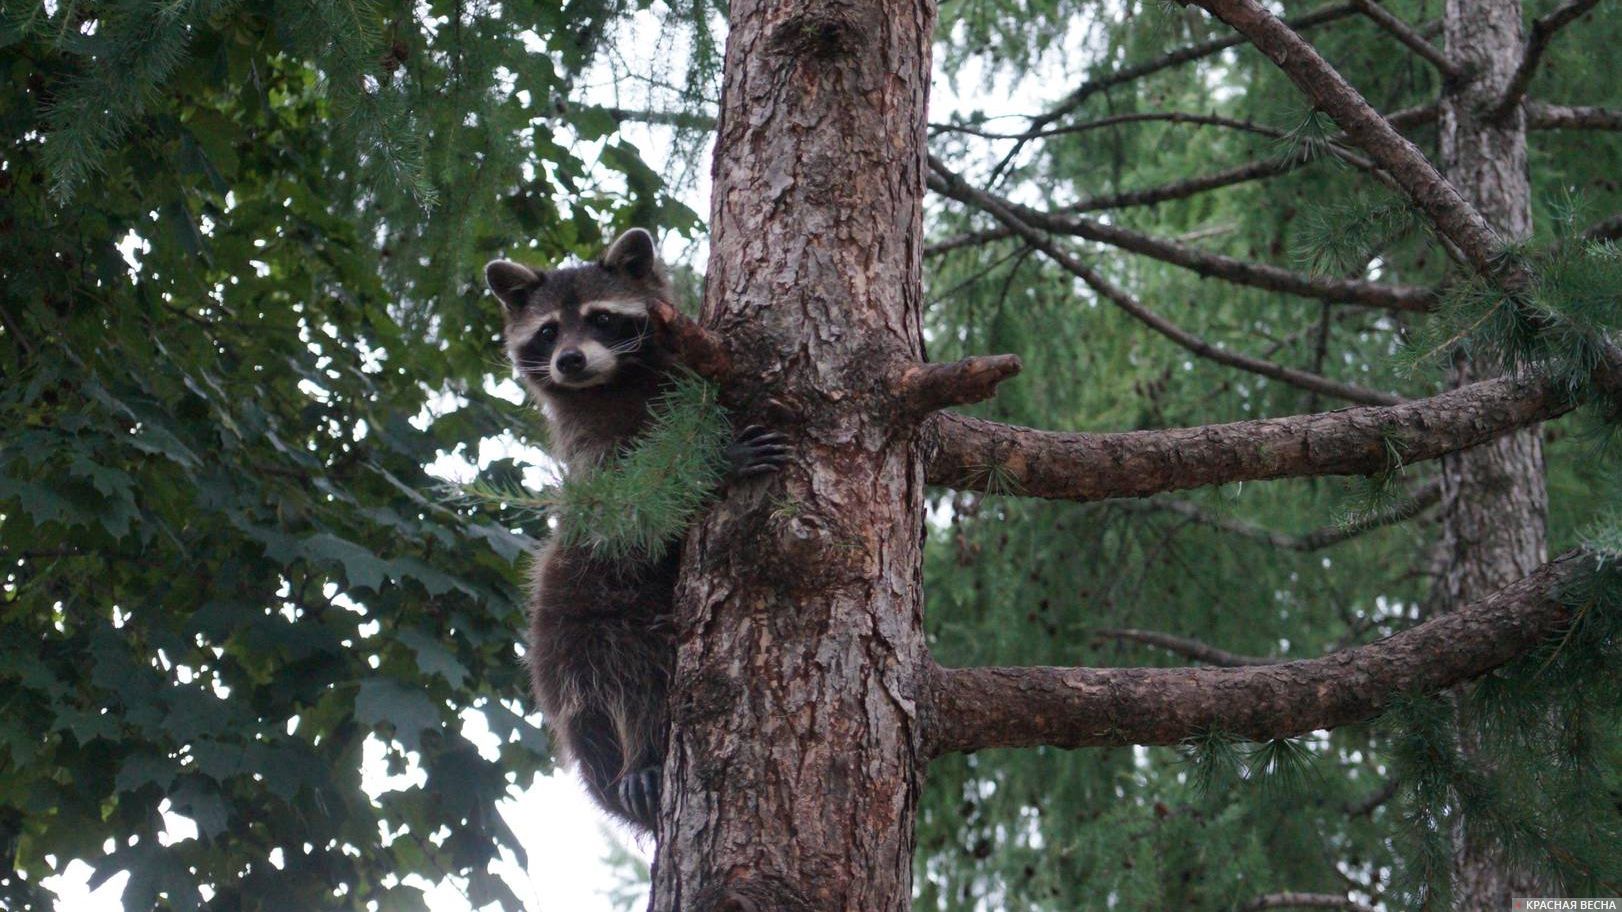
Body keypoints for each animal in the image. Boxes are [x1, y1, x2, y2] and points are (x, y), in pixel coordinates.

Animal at [480, 228, 785, 830]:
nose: (569, 359)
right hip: (576, 620)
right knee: (626, 677)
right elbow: (632, 513)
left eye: (600, 319)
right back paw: (644, 755)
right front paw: (713, 467)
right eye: (548, 331)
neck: (609, 387)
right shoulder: (594, 464)